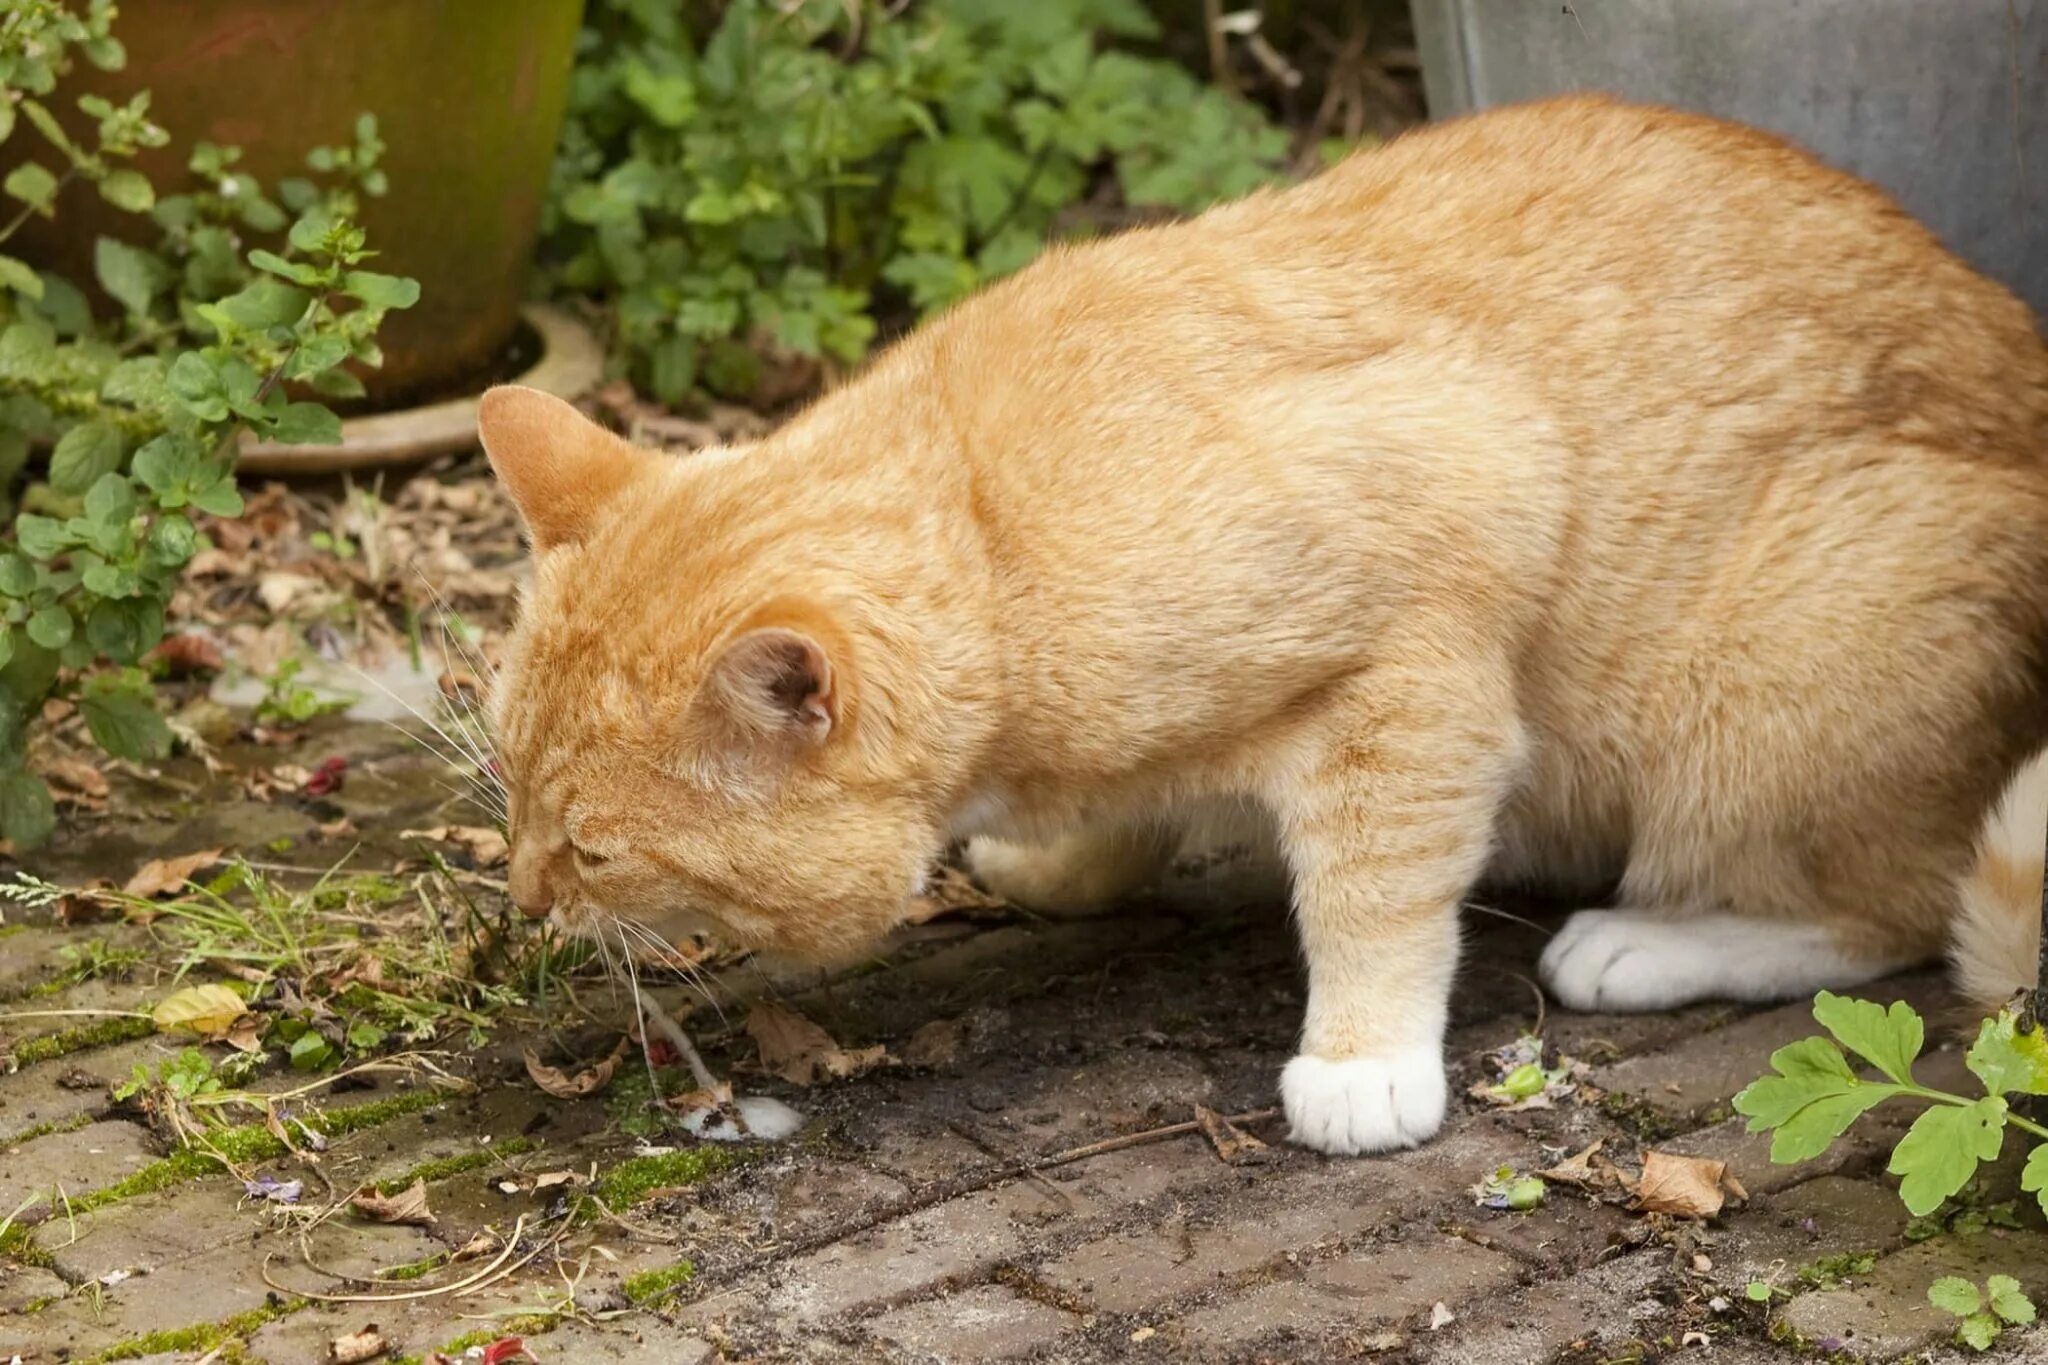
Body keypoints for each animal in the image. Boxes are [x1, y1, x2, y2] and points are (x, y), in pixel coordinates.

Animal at [475, 96, 2048, 1162]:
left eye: (594, 849)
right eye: (513, 807)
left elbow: (1377, 895)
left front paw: (1360, 1063)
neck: (990, 517)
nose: (528, 903)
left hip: (1758, 697)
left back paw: (1644, 945)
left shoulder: (1424, 650)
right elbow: (1125, 816)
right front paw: (1067, 863)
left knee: (1894, 916)